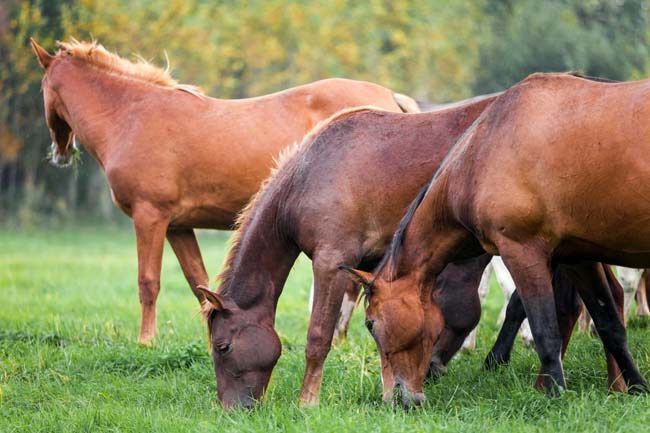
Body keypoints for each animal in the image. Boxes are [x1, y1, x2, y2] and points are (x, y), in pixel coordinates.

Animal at [30, 38, 420, 344]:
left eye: (43, 89)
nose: (59, 153)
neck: (131, 115)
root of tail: (390, 97)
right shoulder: (177, 226)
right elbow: (198, 283)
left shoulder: (149, 216)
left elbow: (148, 282)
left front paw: (146, 342)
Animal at [197, 93, 499, 409]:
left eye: (222, 347)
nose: (231, 409)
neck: (306, 176)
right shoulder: (378, 271)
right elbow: (385, 336)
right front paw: (391, 393)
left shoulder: (330, 263)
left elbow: (319, 336)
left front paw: (307, 402)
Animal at [346, 72, 650, 405]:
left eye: (370, 323)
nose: (397, 398)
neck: (485, 149)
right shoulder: (578, 257)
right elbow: (610, 325)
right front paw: (637, 388)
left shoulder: (522, 252)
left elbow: (545, 330)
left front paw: (555, 394)